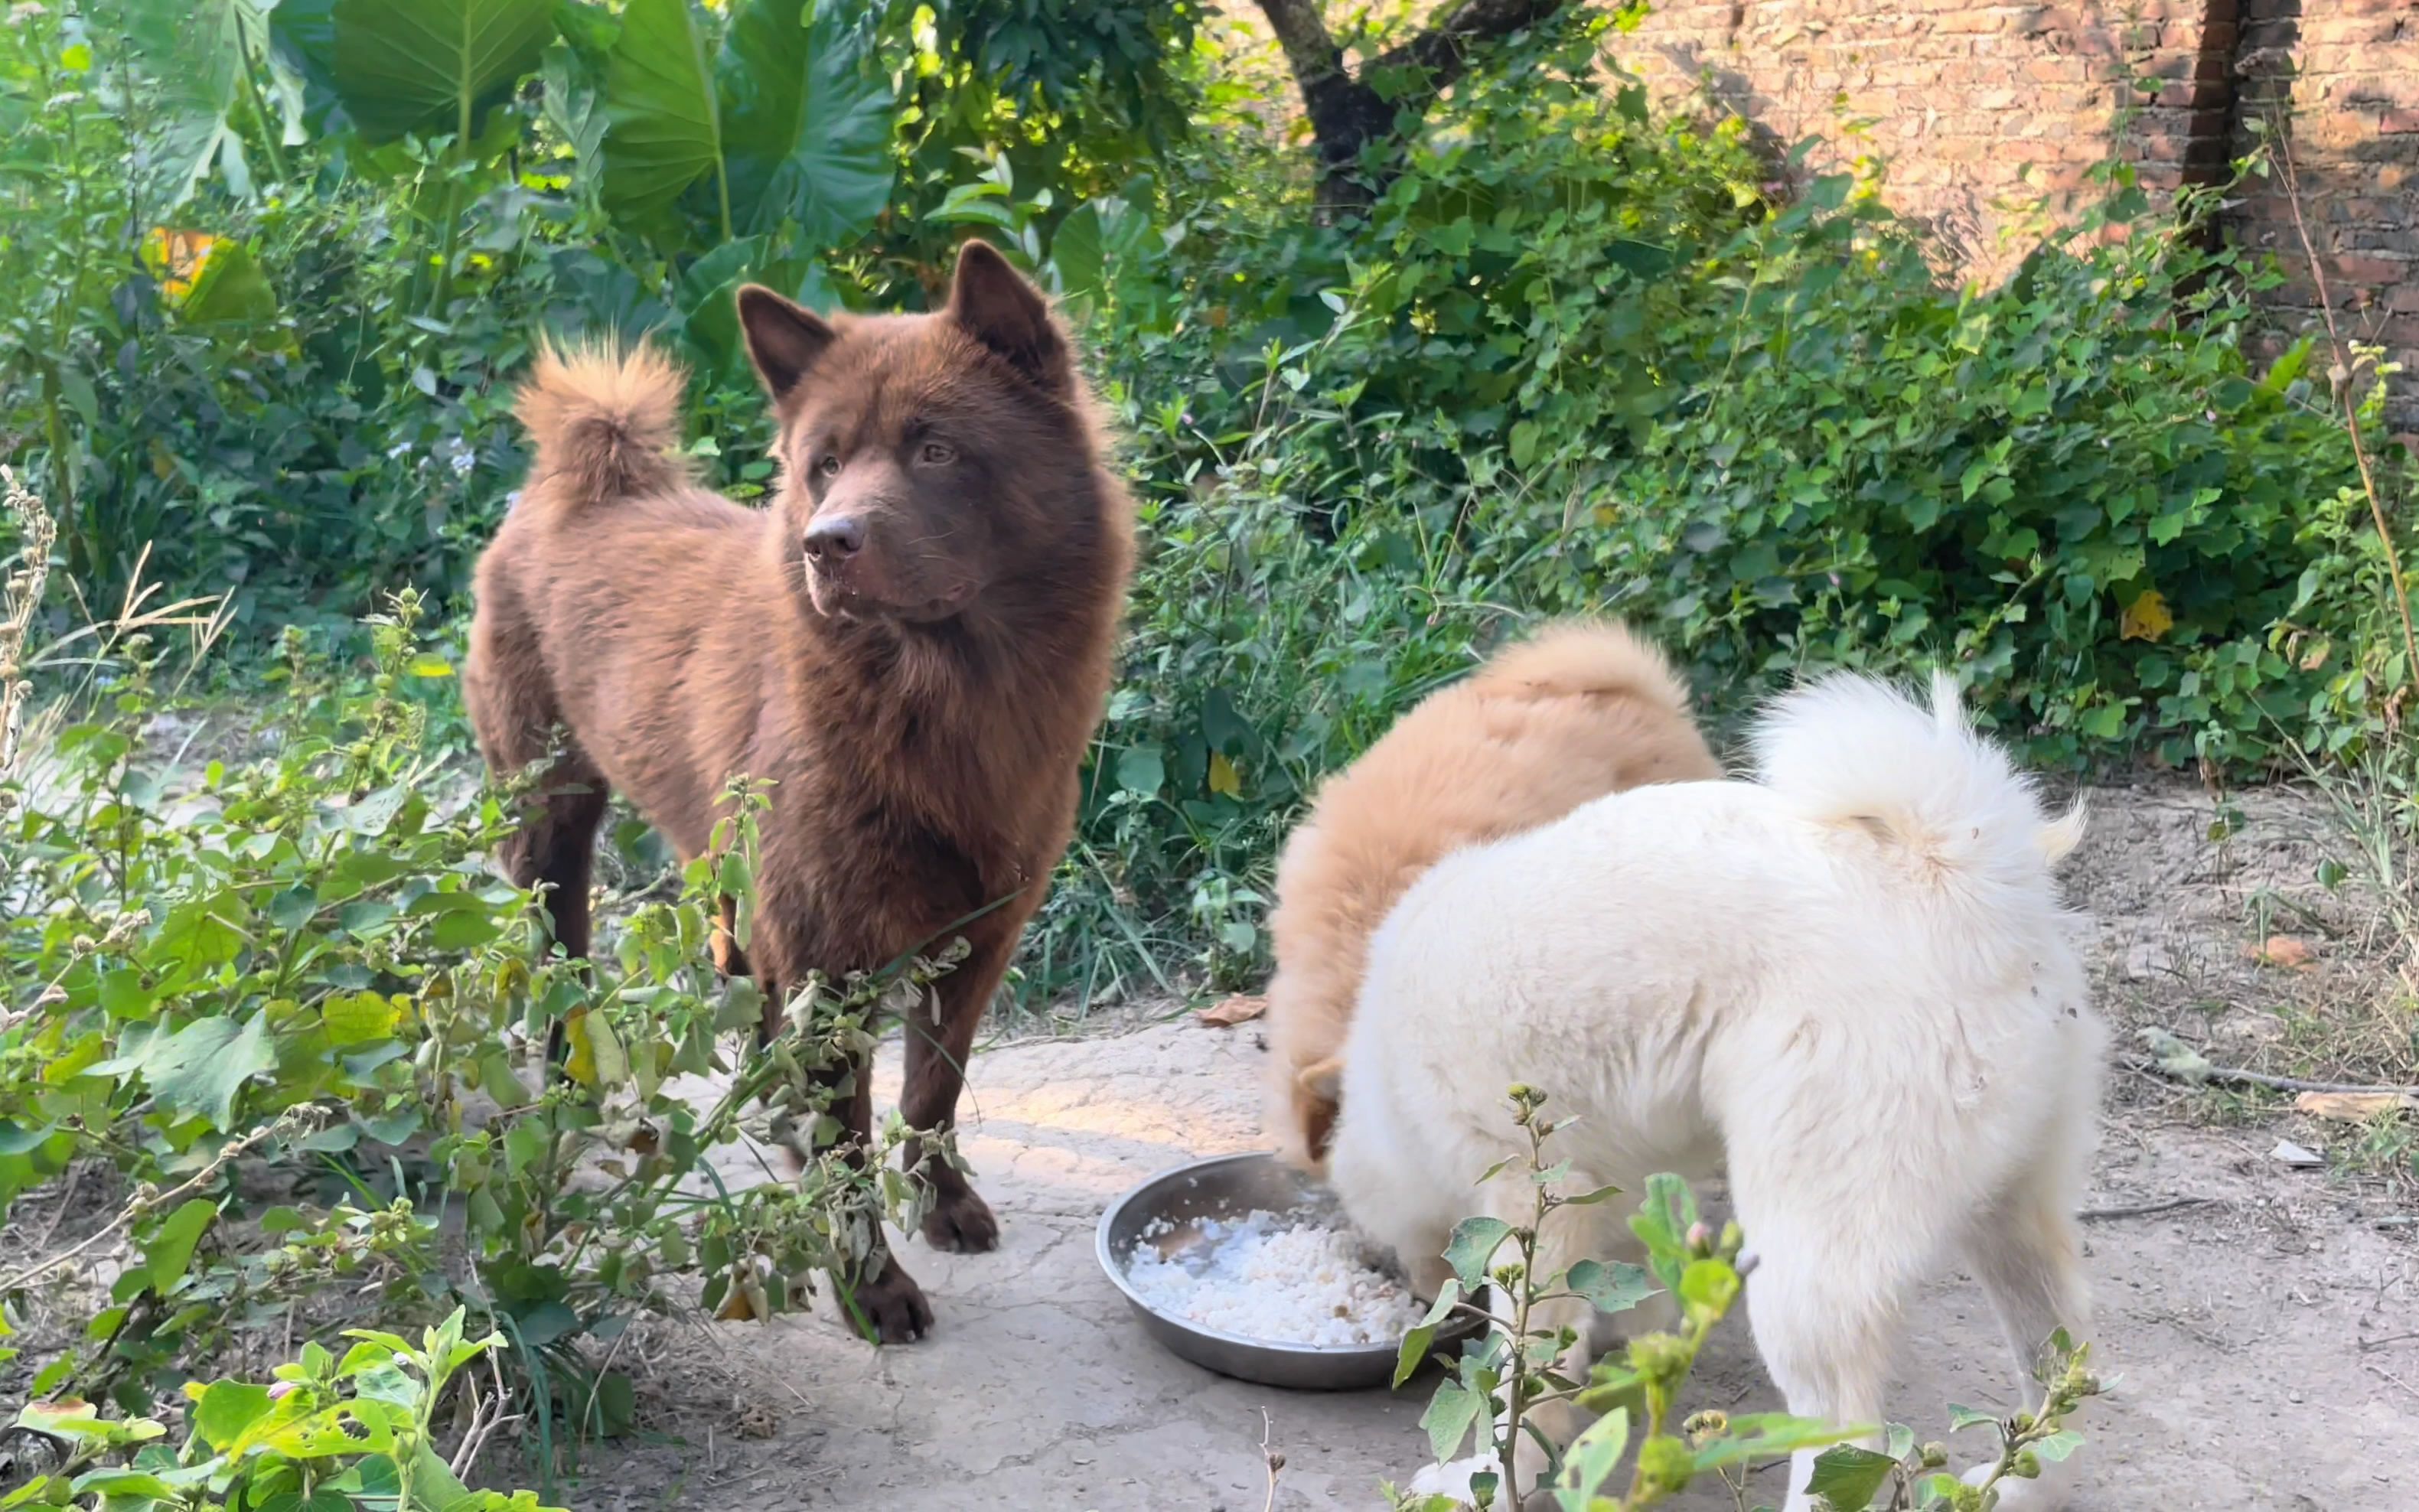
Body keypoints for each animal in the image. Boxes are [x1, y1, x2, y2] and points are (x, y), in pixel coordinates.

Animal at [467, 242, 1136, 1335]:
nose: (828, 540)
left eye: (936, 451)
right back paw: (572, 1092)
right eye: (824, 463)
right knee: (561, 965)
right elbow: (851, 1150)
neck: (936, 703)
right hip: (551, 830)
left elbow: (930, 1091)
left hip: (725, 864)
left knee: (742, 981)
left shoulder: (976, 939)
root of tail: (579, 488)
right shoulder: (832, 955)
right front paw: (872, 1288)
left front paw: (942, 1202)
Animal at [1325, 672, 2099, 1509]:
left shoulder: (1535, 1199)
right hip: (2013, 1220)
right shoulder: (1621, 1190)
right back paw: (2018, 1490)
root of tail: (1959, 877)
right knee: (2054, 1379)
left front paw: (1498, 1478)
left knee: (1844, 1436)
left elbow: (1522, 1379)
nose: (1404, 1288)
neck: (1386, 1077)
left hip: (1807, 1257)